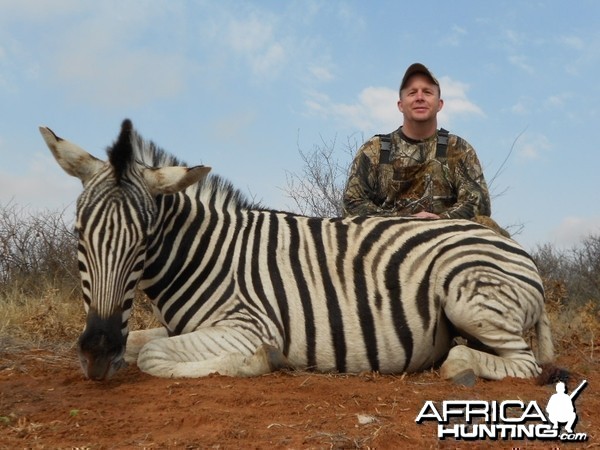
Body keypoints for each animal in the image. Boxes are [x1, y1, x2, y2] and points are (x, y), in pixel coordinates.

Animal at [38, 118, 552, 384]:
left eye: (145, 241)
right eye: (78, 234)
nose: (98, 353)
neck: (206, 255)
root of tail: (517, 251)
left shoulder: (247, 327)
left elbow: (152, 356)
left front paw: (259, 362)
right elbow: (143, 343)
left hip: (468, 299)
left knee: (521, 364)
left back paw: (459, 366)